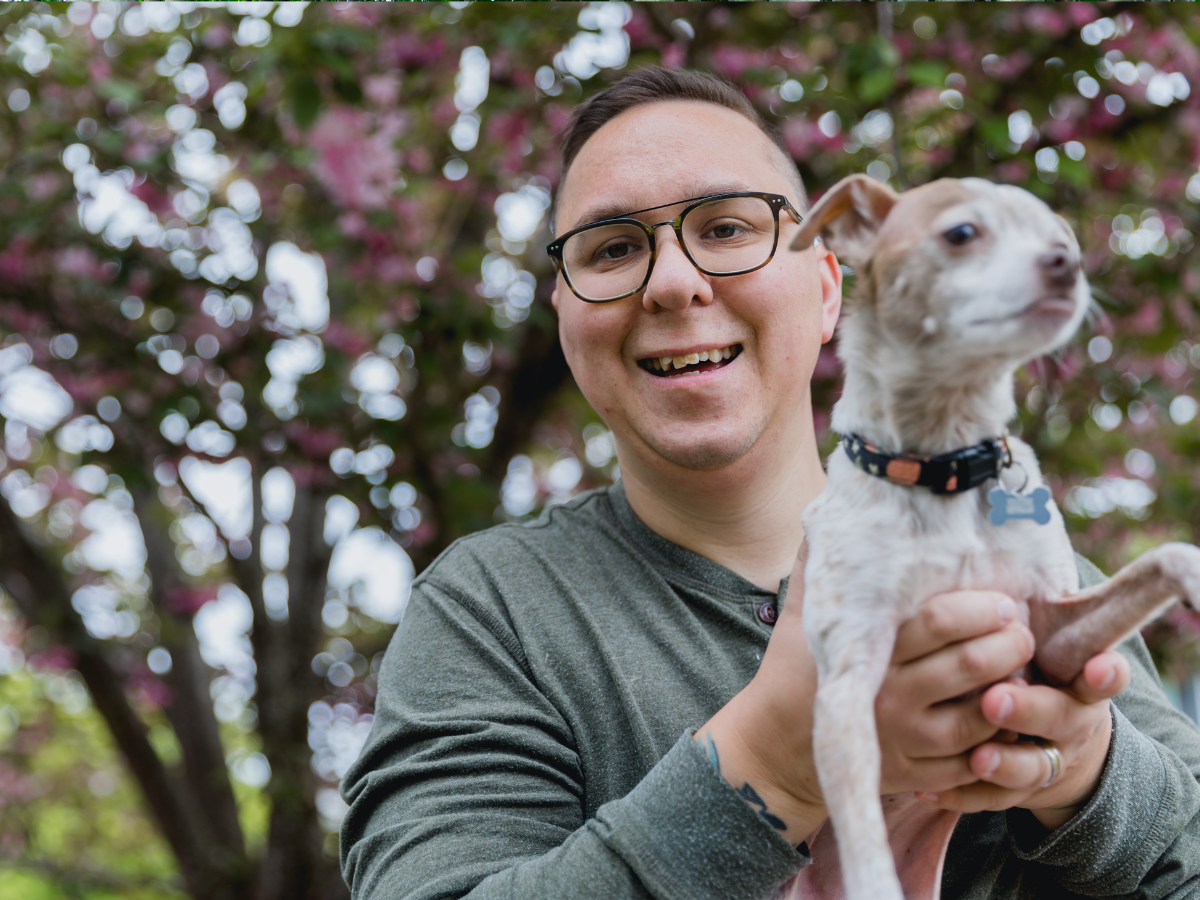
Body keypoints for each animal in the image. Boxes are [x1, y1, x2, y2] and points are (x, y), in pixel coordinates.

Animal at [772, 176, 1200, 900]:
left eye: (1060, 234)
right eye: (962, 233)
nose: (1068, 262)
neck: (945, 467)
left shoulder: (1052, 639)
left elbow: (1165, 557)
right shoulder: (846, 688)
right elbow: (862, 836)